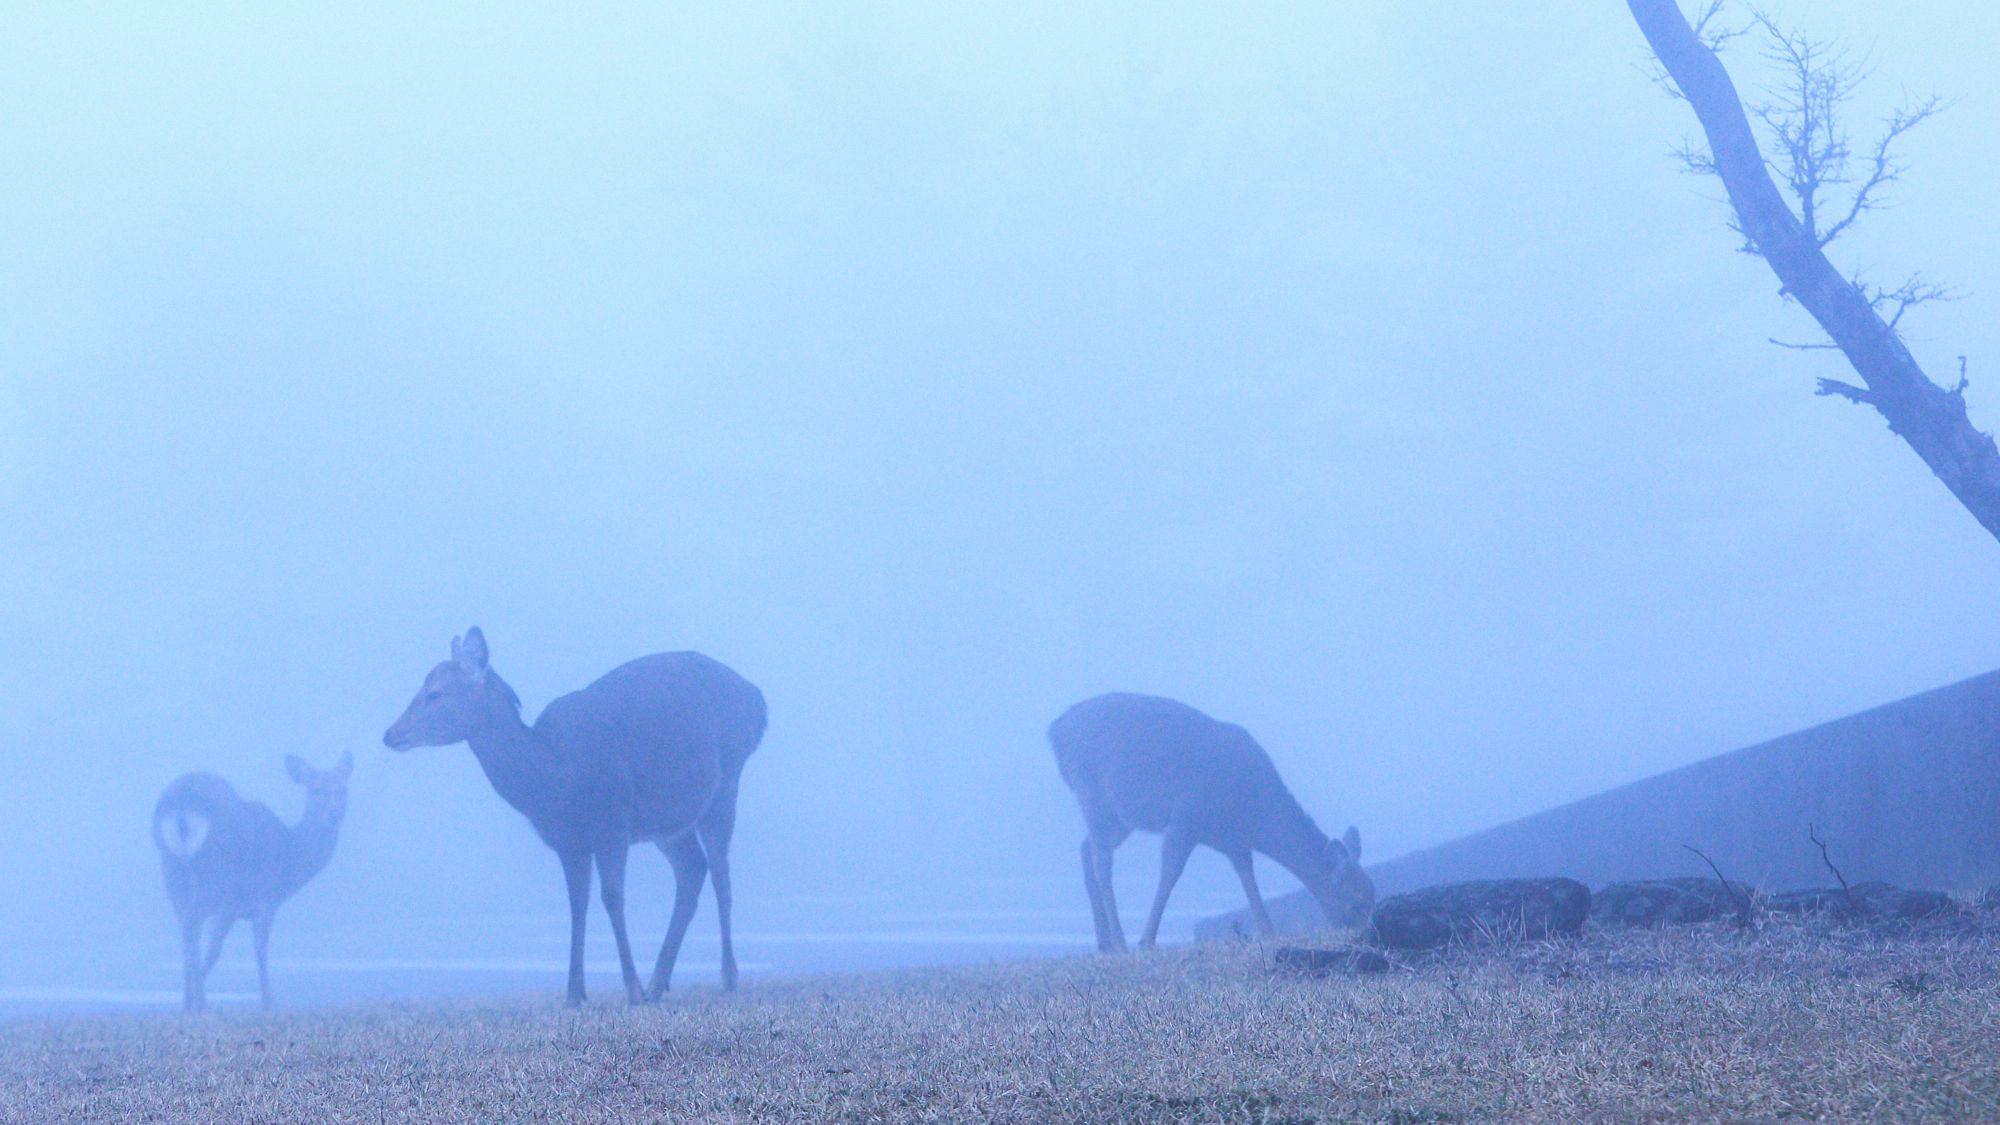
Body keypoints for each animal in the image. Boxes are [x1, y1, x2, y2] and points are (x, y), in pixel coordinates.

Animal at [152, 748, 356, 1012]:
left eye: (344, 789)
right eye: (316, 790)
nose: (334, 815)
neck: (290, 862)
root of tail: (180, 805)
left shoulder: (230, 909)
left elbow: (214, 950)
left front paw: (189, 1001)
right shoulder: (264, 897)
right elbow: (258, 947)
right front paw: (267, 1002)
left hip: (173, 873)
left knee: (186, 931)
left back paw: (192, 1001)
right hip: (213, 875)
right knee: (190, 925)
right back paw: (204, 1004)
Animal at [382, 624, 764, 1000]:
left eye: (435, 693)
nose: (390, 734)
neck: (556, 782)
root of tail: (758, 701)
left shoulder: (613, 821)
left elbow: (612, 897)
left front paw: (631, 989)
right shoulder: (568, 842)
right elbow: (576, 905)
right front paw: (575, 994)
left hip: (725, 783)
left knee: (720, 875)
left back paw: (726, 977)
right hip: (669, 820)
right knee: (692, 870)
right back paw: (658, 982)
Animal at [1048, 692, 1376, 944]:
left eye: (1373, 896)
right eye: (1355, 903)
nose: (1367, 935)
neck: (1253, 815)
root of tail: (1055, 732)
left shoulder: (1234, 842)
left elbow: (1247, 876)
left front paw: (1268, 931)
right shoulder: (1185, 816)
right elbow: (1170, 873)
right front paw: (1146, 940)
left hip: (1118, 816)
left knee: (1085, 849)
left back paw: (1104, 941)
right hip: (1093, 793)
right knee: (1102, 863)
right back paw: (1120, 941)